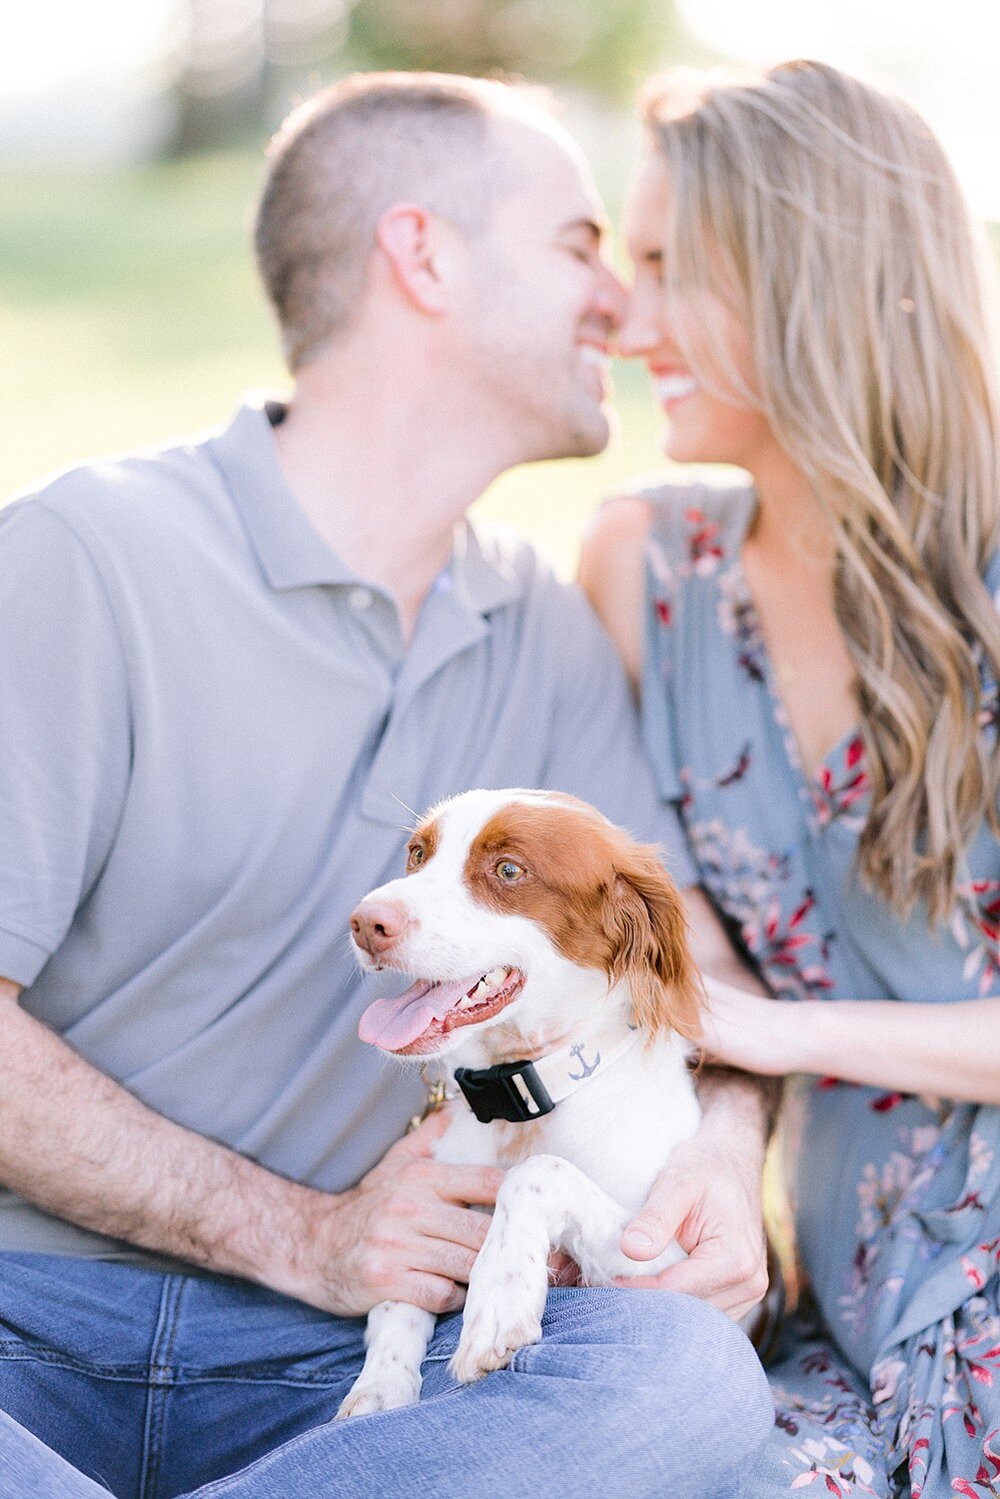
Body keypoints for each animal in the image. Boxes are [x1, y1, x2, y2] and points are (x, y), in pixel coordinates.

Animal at [335, 785, 704, 1415]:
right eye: (417, 854)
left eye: (509, 870)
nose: (365, 921)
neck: (522, 1098)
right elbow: (395, 1303)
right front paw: (379, 1388)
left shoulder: (664, 1260)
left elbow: (534, 1175)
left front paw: (496, 1304)